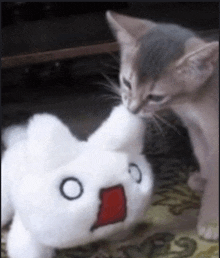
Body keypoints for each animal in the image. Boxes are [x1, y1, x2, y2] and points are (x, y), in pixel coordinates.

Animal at [106, 11, 218, 241]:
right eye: (127, 83)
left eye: (155, 97)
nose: (132, 109)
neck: (192, 101)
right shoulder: (196, 128)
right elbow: (203, 155)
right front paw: (204, 179)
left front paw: (211, 220)